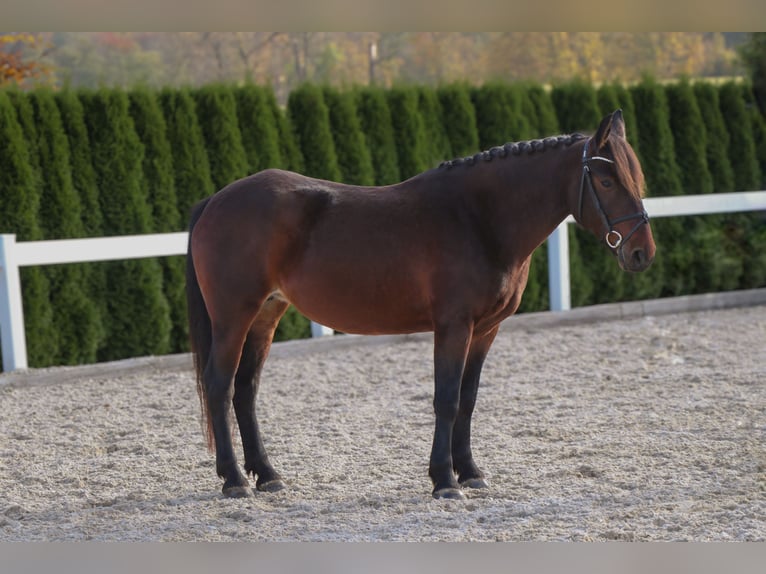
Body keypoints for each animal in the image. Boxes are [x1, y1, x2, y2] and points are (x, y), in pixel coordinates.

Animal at [188, 111, 660, 500]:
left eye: (635, 177)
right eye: (606, 181)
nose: (642, 253)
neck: (478, 218)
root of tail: (216, 200)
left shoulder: (485, 330)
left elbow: (468, 399)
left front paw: (470, 473)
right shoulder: (454, 326)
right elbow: (446, 399)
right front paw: (445, 481)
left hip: (266, 315)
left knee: (246, 390)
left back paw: (267, 476)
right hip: (233, 317)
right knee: (220, 385)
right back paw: (234, 481)